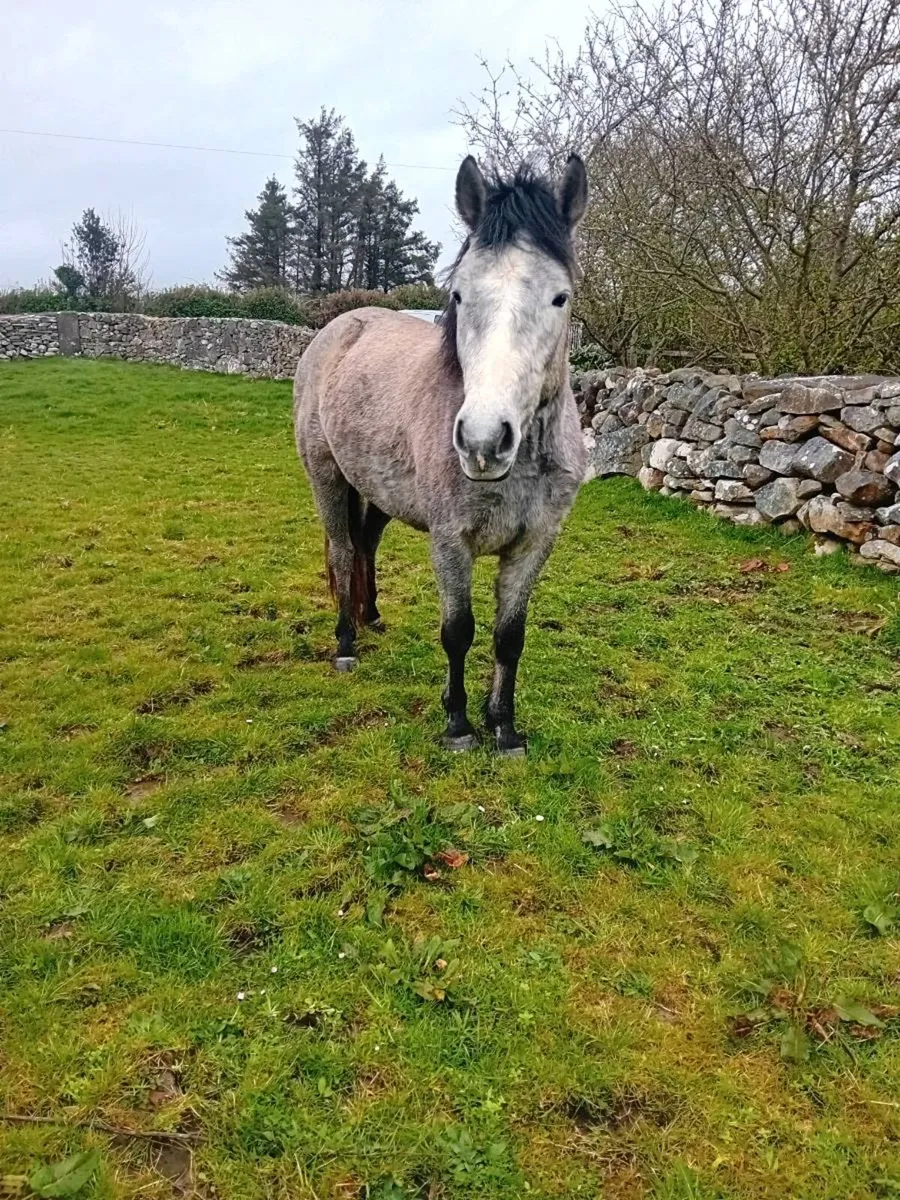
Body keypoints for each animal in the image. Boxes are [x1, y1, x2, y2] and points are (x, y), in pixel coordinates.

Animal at [293, 153, 588, 756]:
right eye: (459, 295)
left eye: (560, 297)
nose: (483, 441)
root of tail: (338, 327)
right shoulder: (451, 542)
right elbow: (459, 631)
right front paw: (458, 723)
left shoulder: (535, 545)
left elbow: (508, 637)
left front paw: (504, 727)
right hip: (328, 479)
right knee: (343, 551)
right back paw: (346, 643)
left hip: (378, 492)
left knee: (365, 546)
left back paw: (372, 615)